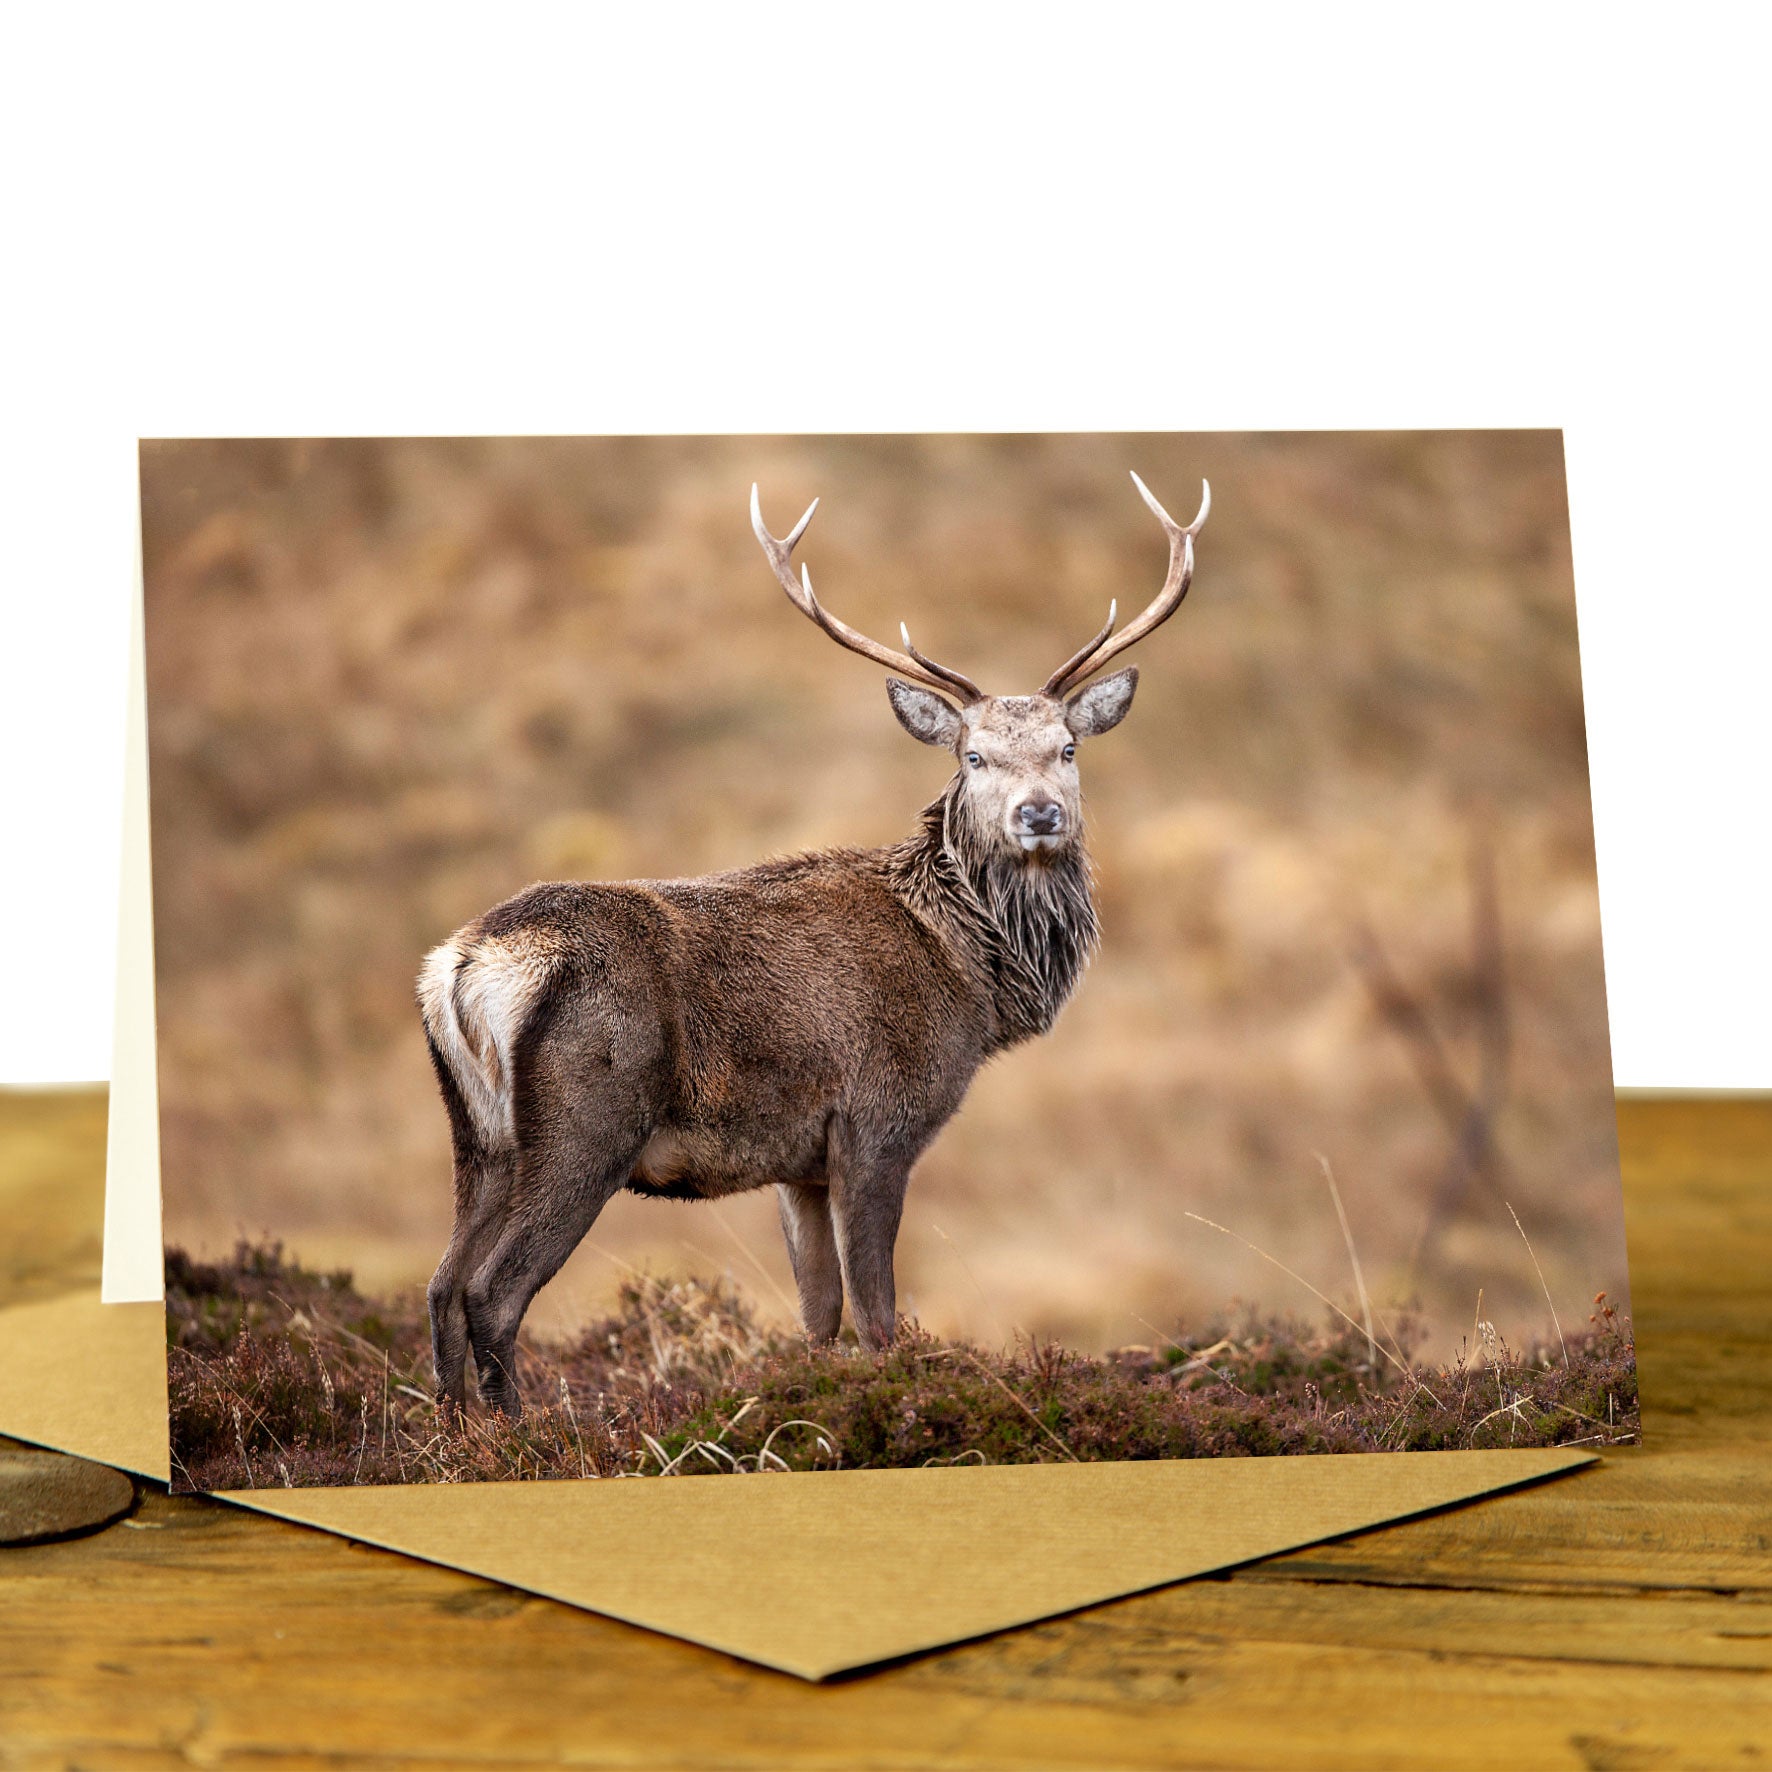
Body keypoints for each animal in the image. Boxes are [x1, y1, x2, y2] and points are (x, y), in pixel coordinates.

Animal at [418, 472, 1209, 1417]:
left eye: (1068, 748)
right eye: (973, 756)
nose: (1040, 814)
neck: (970, 978)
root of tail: (464, 966)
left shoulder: (800, 1159)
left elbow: (818, 1316)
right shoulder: (880, 1120)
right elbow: (878, 1316)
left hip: (478, 1135)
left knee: (439, 1283)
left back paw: (458, 1434)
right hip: (586, 1121)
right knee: (492, 1292)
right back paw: (520, 1433)